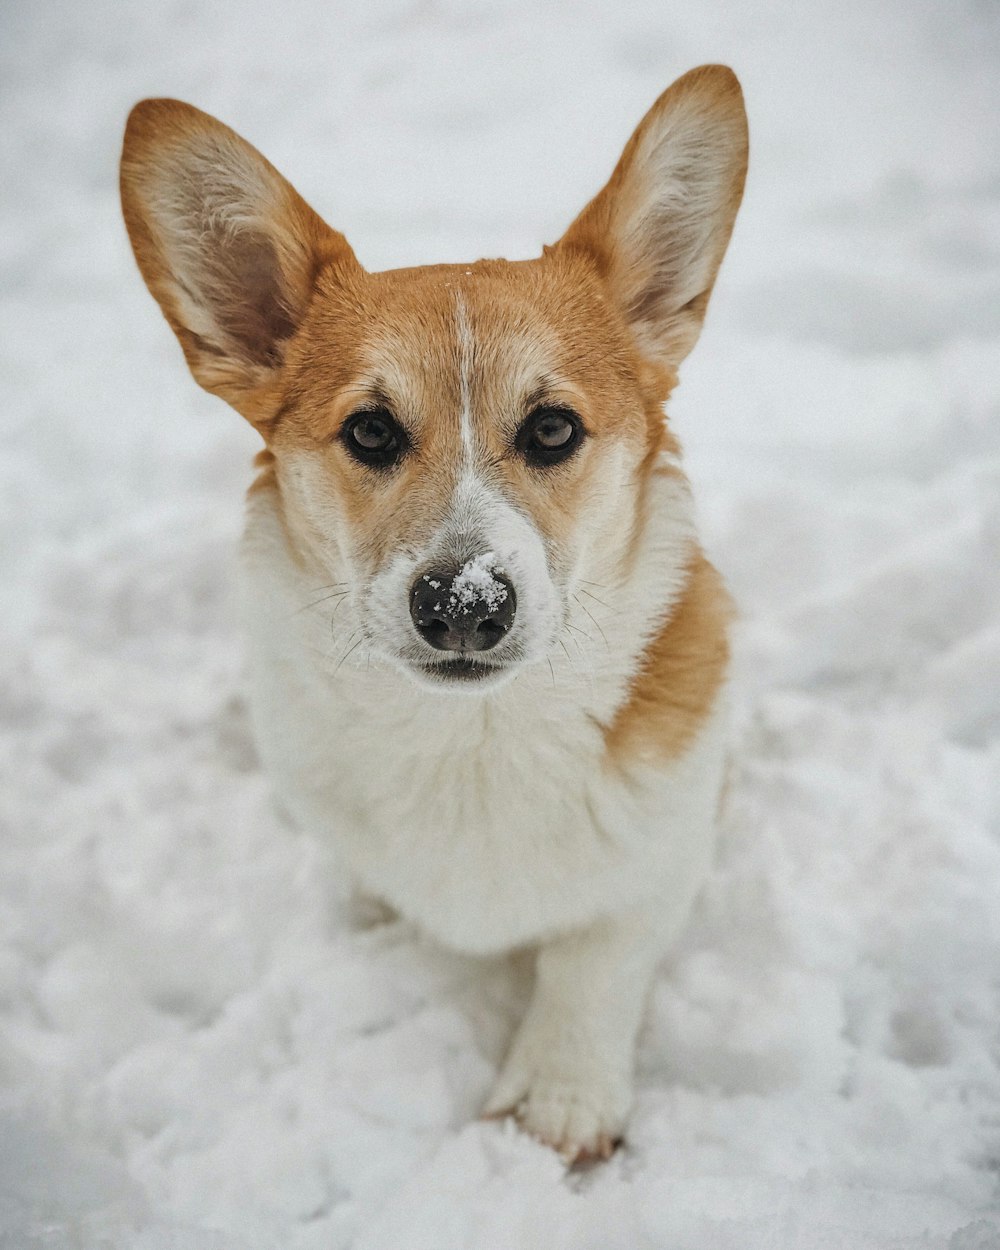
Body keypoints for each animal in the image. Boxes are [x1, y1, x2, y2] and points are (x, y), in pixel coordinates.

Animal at [117, 68, 745, 1160]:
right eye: (370, 431)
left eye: (552, 429)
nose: (463, 604)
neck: (471, 740)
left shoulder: (659, 865)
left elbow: (593, 960)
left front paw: (560, 1101)